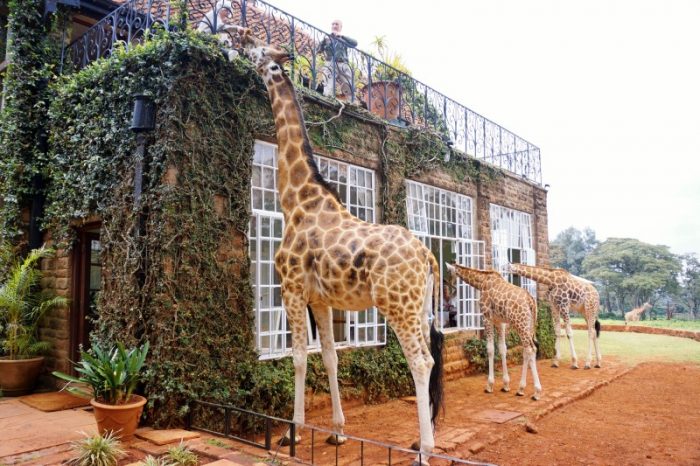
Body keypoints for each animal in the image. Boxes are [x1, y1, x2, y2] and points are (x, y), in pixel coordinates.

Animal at [232, 26, 446, 466]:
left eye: (259, 49)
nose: (236, 35)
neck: (298, 200)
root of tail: (427, 255)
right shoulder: (321, 299)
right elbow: (329, 357)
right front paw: (337, 433)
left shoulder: (292, 288)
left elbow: (298, 358)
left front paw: (291, 434)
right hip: (419, 307)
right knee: (431, 360)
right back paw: (422, 440)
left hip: (397, 304)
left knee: (420, 361)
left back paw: (425, 451)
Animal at [448, 264, 540, 398]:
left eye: (450, 273)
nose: (451, 291)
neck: (481, 282)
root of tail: (531, 301)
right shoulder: (499, 322)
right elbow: (502, 348)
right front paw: (506, 384)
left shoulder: (487, 318)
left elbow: (490, 349)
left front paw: (489, 385)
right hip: (527, 325)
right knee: (527, 350)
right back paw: (520, 389)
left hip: (520, 324)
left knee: (530, 349)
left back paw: (536, 392)